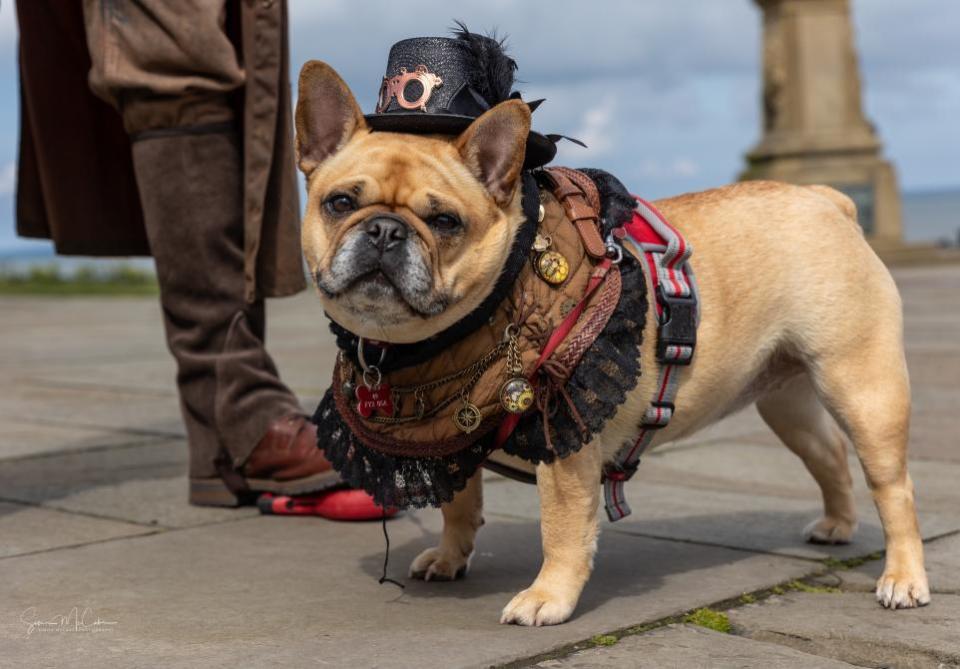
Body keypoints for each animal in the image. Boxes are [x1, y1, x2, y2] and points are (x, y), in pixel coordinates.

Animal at [294, 62, 928, 628]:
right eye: (339, 203)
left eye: (446, 221)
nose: (384, 230)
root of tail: (824, 198)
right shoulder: (449, 439)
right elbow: (459, 505)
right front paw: (450, 559)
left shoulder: (564, 443)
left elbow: (562, 527)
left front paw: (548, 598)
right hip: (786, 400)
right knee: (830, 455)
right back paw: (837, 526)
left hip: (860, 386)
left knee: (892, 485)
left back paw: (903, 579)